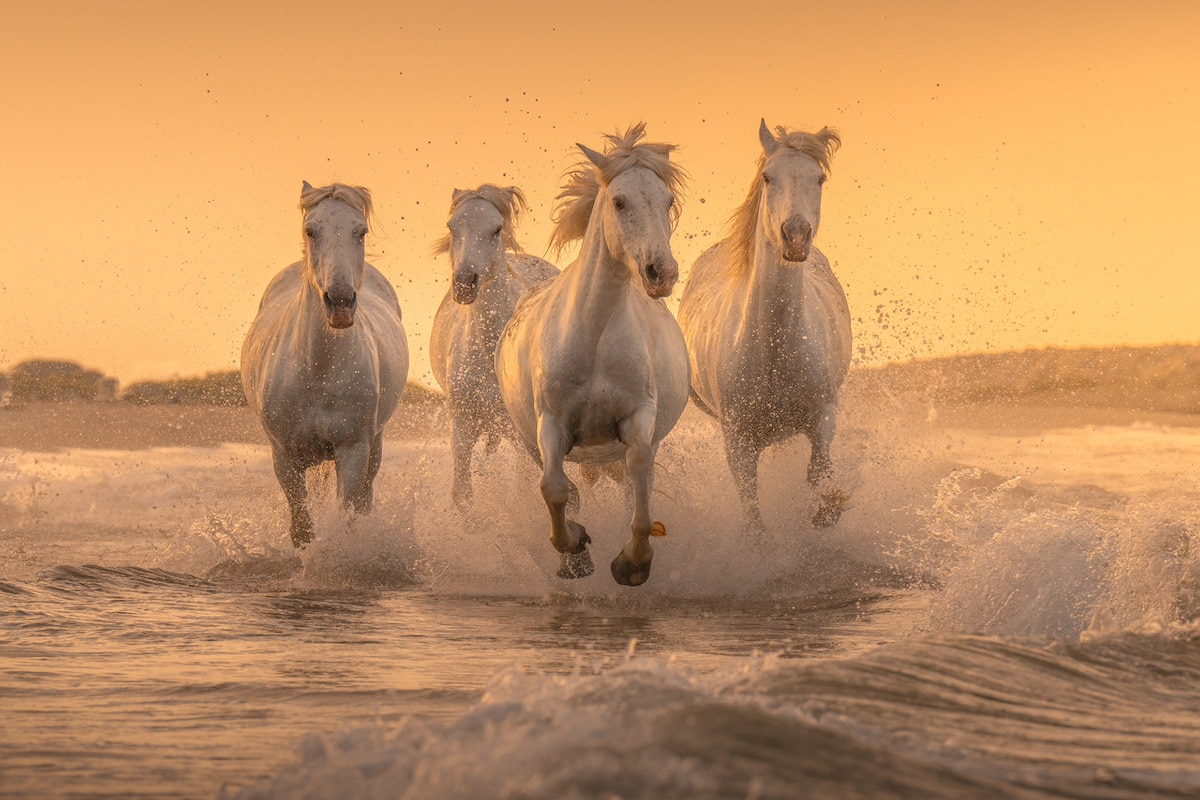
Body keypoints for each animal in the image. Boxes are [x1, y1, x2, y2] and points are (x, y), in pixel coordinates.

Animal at [241, 182, 410, 546]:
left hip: (374, 445)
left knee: (365, 498)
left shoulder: (353, 450)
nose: (341, 302)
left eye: (360, 231)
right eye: (310, 230)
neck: (318, 371)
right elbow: (302, 529)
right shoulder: (285, 456)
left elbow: (347, 517)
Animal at [429, 185, 559, 510]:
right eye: (452, 227)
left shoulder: (524, 432)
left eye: (496, 229)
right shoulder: (463, 424)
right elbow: (462, 495)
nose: (465, 283)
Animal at [494, 125, 686, 587]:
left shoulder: (638, 415)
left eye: (668, 201)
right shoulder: (551, 423)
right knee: (566, 487)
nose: (662, 273)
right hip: (530, 440)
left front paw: (633, 563)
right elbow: (554, 489)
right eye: (619, 201)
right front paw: (576, 551)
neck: (595, 335)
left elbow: (639, 471)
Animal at [676, 120, 854, 532]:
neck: (774, 346)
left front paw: (823, 513)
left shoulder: (823, 417)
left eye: (819, 178)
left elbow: (818, 474)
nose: (796, 236)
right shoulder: (738, 441)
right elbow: (754, 517)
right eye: (767, 177)